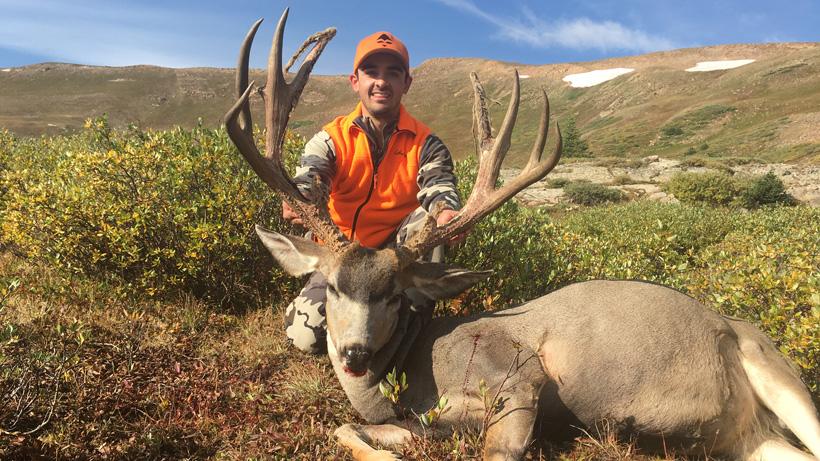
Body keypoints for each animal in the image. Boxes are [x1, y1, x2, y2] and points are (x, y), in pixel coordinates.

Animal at [223, 9, 820, 461]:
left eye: (394, 294)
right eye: (332, 286)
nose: (353, 353)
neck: (413, 370)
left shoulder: (517, 375)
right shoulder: (426, 419)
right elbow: (344, 427)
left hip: (774, 368)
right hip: (750, 440)